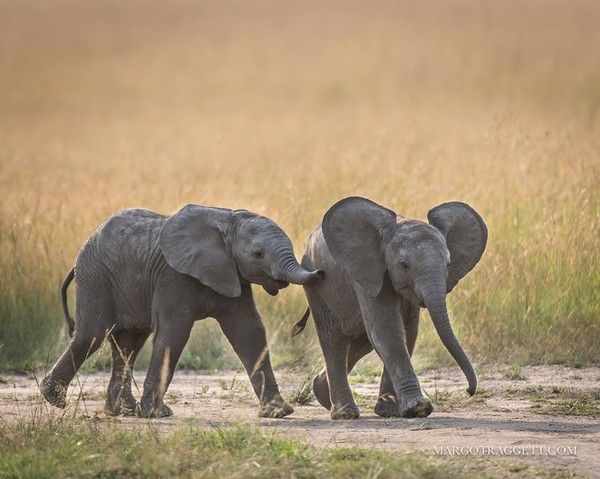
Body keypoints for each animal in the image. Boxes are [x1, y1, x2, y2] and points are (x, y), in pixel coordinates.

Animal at [41, 204, 324, 418]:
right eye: (258, 253)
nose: (320, 271)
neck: (228, 221)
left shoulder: (233, 274)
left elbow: (249, 331)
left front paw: (279, 412)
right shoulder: (174, 276)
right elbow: (174, 331)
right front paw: (156, 414)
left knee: (129, 343)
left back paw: (123, 411)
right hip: (96, 275)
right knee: (91, 335)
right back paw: (55, 400)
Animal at [296, 197, 488, 418]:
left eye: (448, 265)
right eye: (403, 265)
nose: (469, 390)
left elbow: (407, 332)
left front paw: (390, 411)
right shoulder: (367, 272)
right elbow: (388, 331)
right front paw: (418, 408)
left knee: (362, 341)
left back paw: (321, 393)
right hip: (317, 285)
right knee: (334, 340)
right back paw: (345, 413)